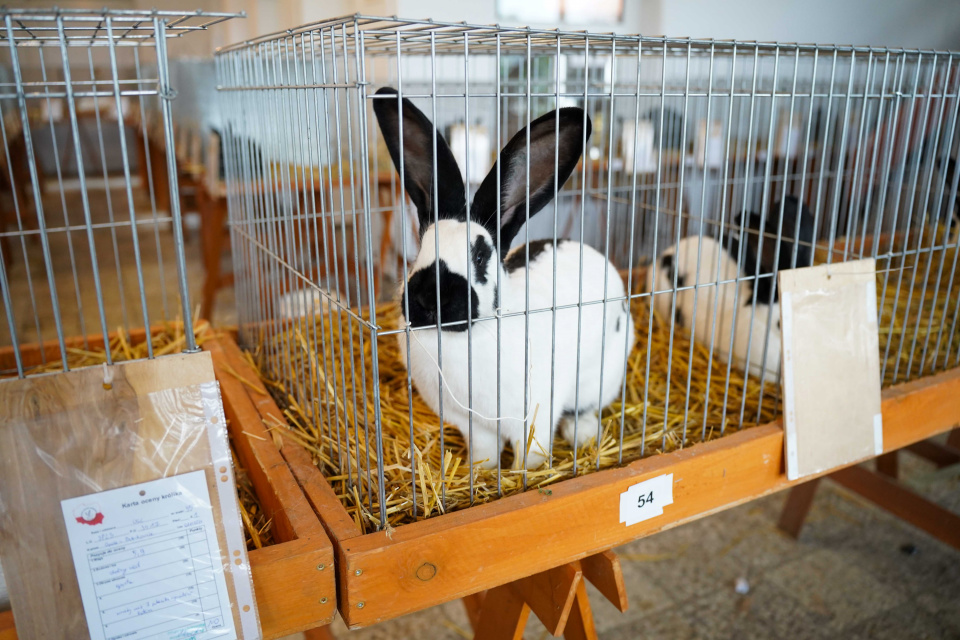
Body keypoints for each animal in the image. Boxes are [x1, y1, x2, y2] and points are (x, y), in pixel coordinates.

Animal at [372, 86, 632, 470]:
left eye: (480, 256)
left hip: (600, 375)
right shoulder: (471, 423)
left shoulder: (534, 414)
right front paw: (481, 473)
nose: (429, 298)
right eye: (421, 248)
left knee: (585, 407)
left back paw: (583, 433)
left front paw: (525, 474)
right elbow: (483, 450)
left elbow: (531, 452)